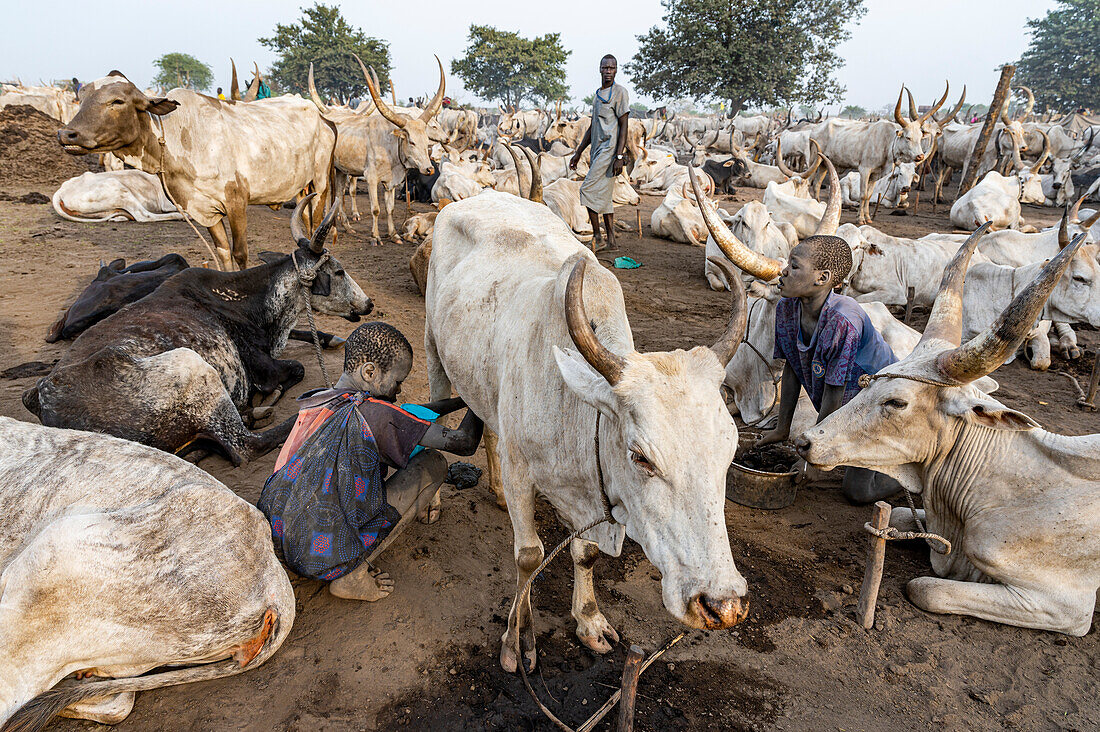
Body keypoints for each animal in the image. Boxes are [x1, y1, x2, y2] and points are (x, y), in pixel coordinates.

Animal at [21, 197, 371, 462]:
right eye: (339, 271)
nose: (368, 304)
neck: (249, 302)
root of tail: (44, 400)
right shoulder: (262, 366)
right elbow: (295, 369)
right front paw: (270, 394)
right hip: (191, 364)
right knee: (246, 446)